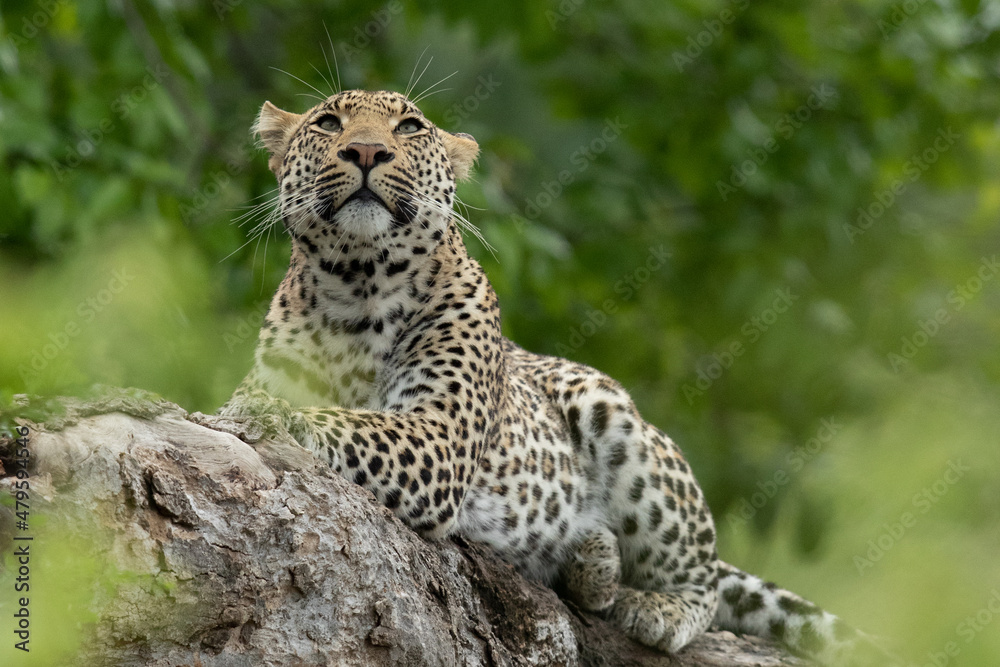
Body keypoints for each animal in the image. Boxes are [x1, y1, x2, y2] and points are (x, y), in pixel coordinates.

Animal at [219, 88, 893, 666]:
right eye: (328, 123)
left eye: (408, 128)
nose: (364, 151)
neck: (357, 287)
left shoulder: (439, 435)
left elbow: (349, 422)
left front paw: (266, 417)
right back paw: (592, 558)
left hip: (614, 417)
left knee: (698, 576)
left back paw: (653, 602)